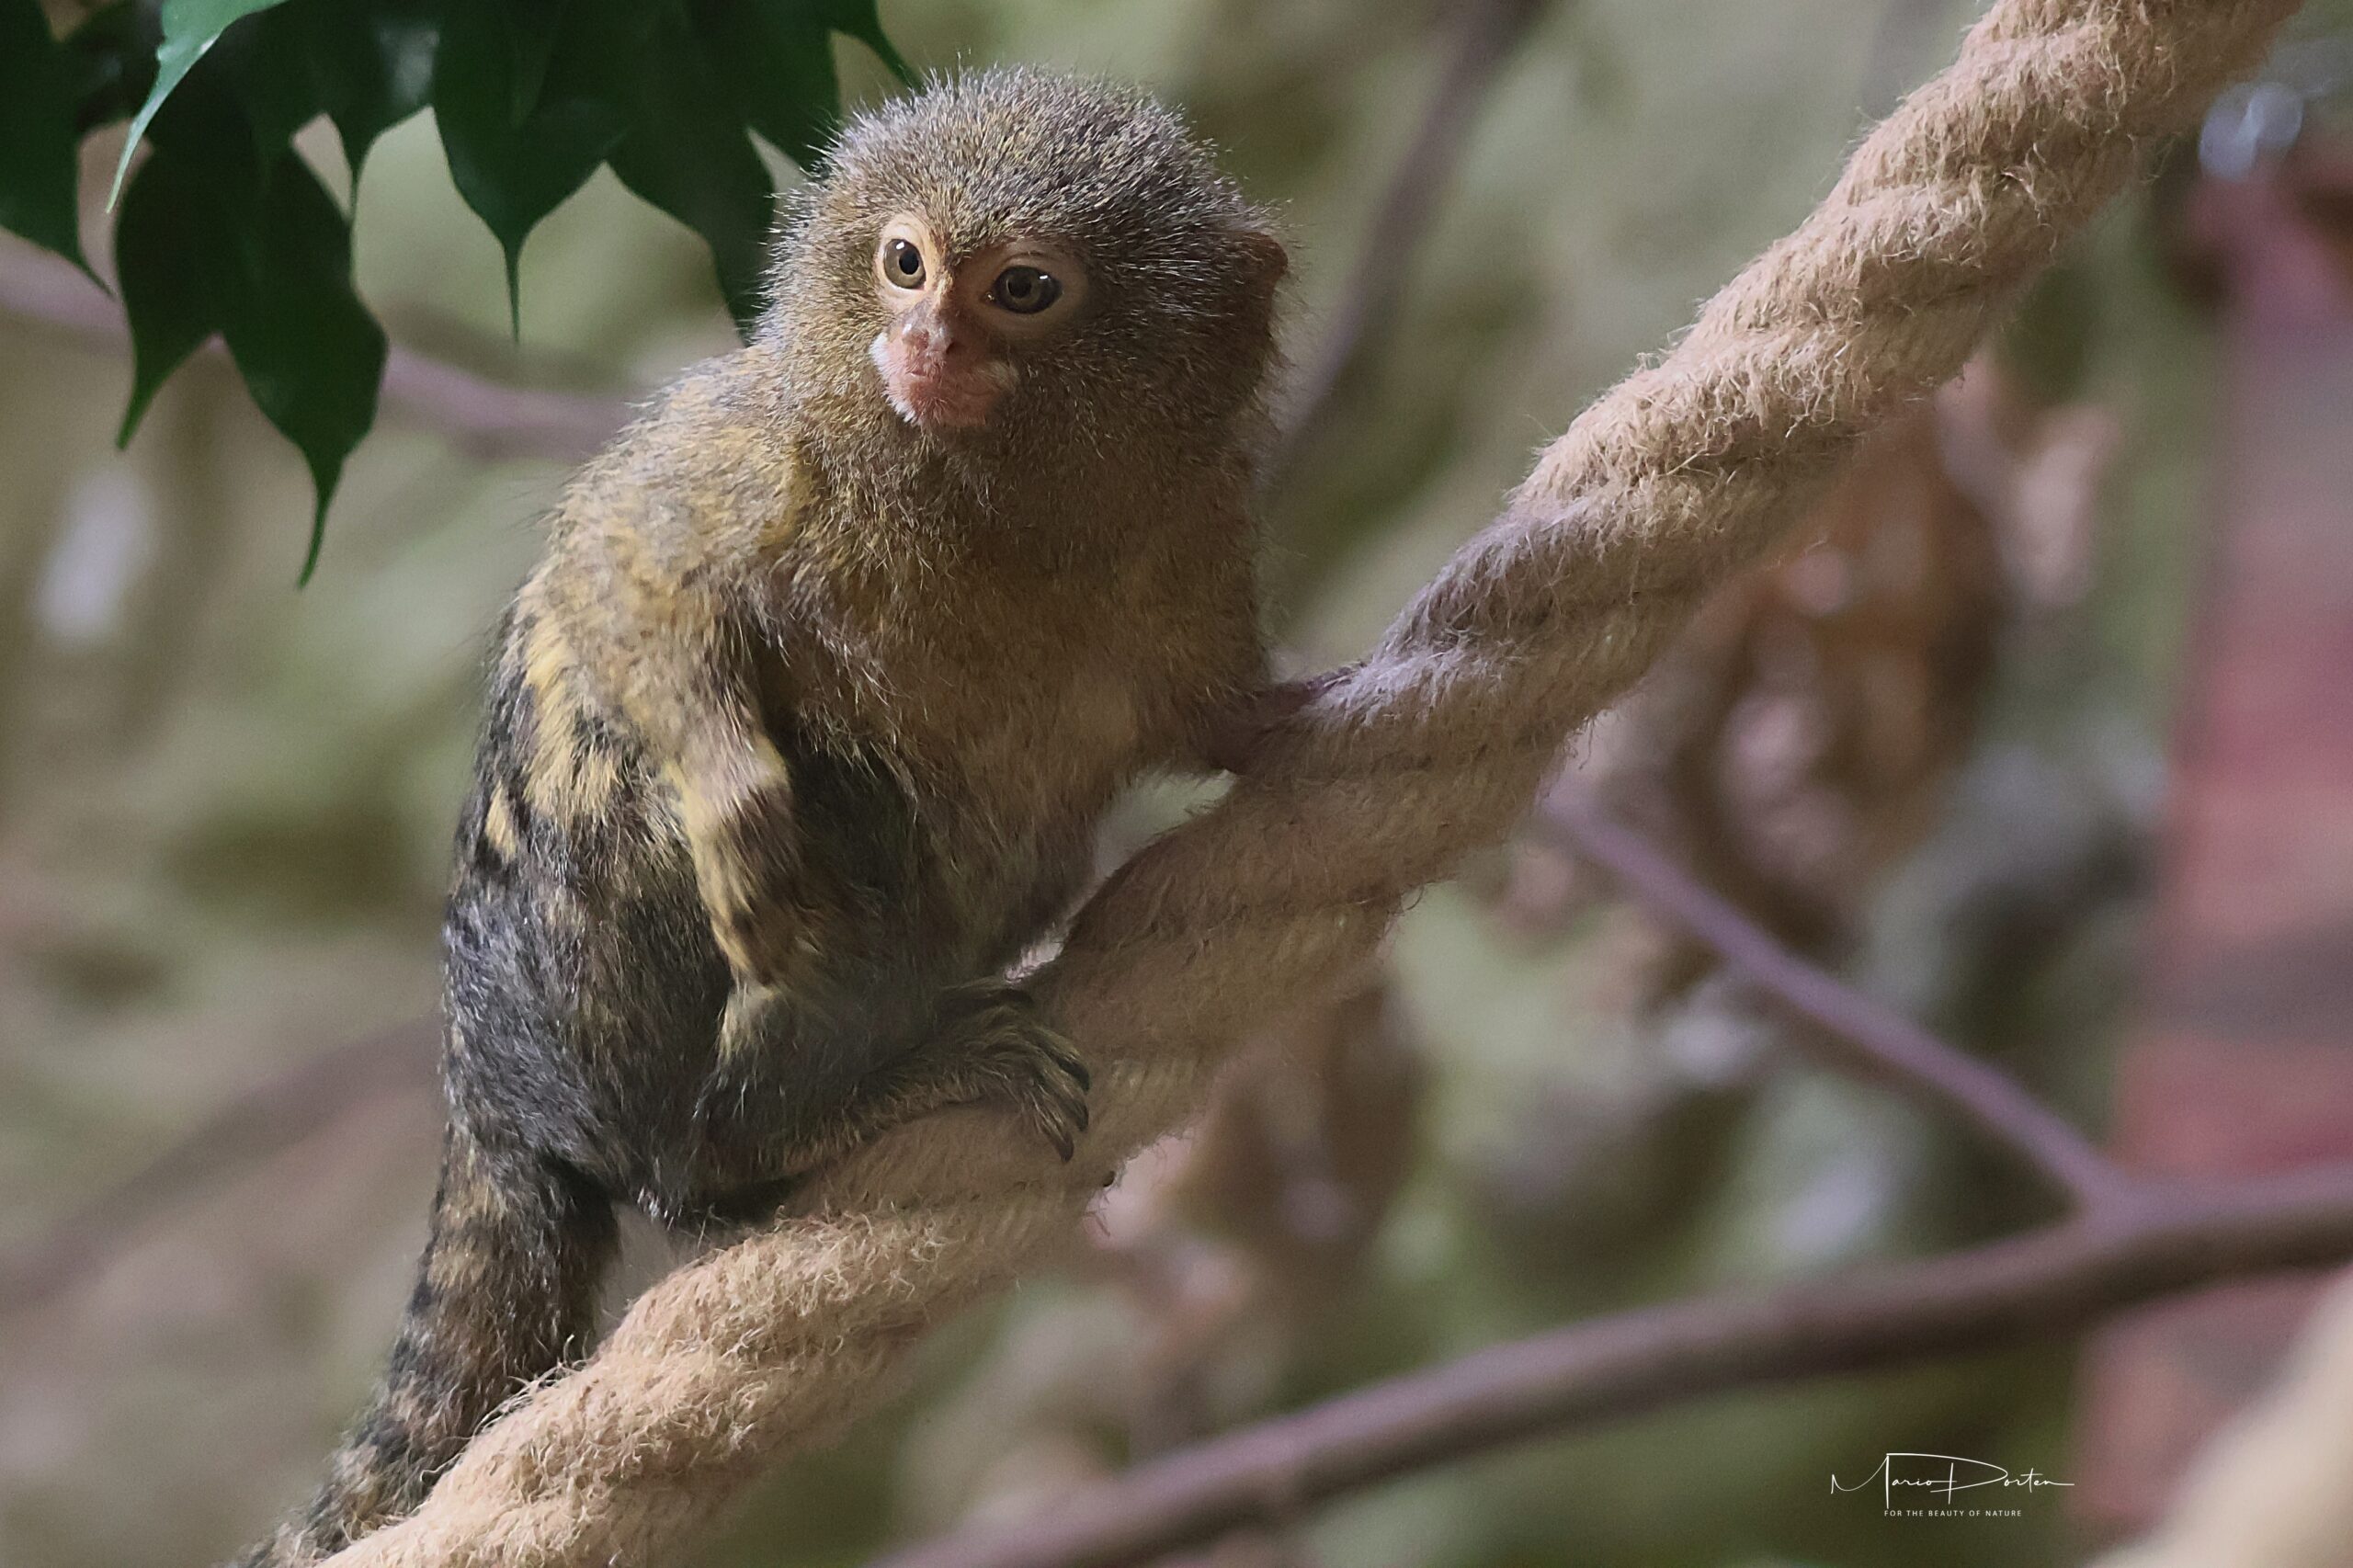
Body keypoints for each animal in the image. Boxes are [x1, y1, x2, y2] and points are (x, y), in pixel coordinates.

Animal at [235, 69, 1290, 1566]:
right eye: (905, 262)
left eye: (1025, 287)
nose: (925, 337)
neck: (997, 497)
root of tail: (483, 1079)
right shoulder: (750, 450)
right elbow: (617, 570)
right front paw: (733, 792)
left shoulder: (1189, 541)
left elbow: (1210, 711)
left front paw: (1301, 719)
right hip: (610, 998)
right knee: (728, 972)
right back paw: (814, 1104)